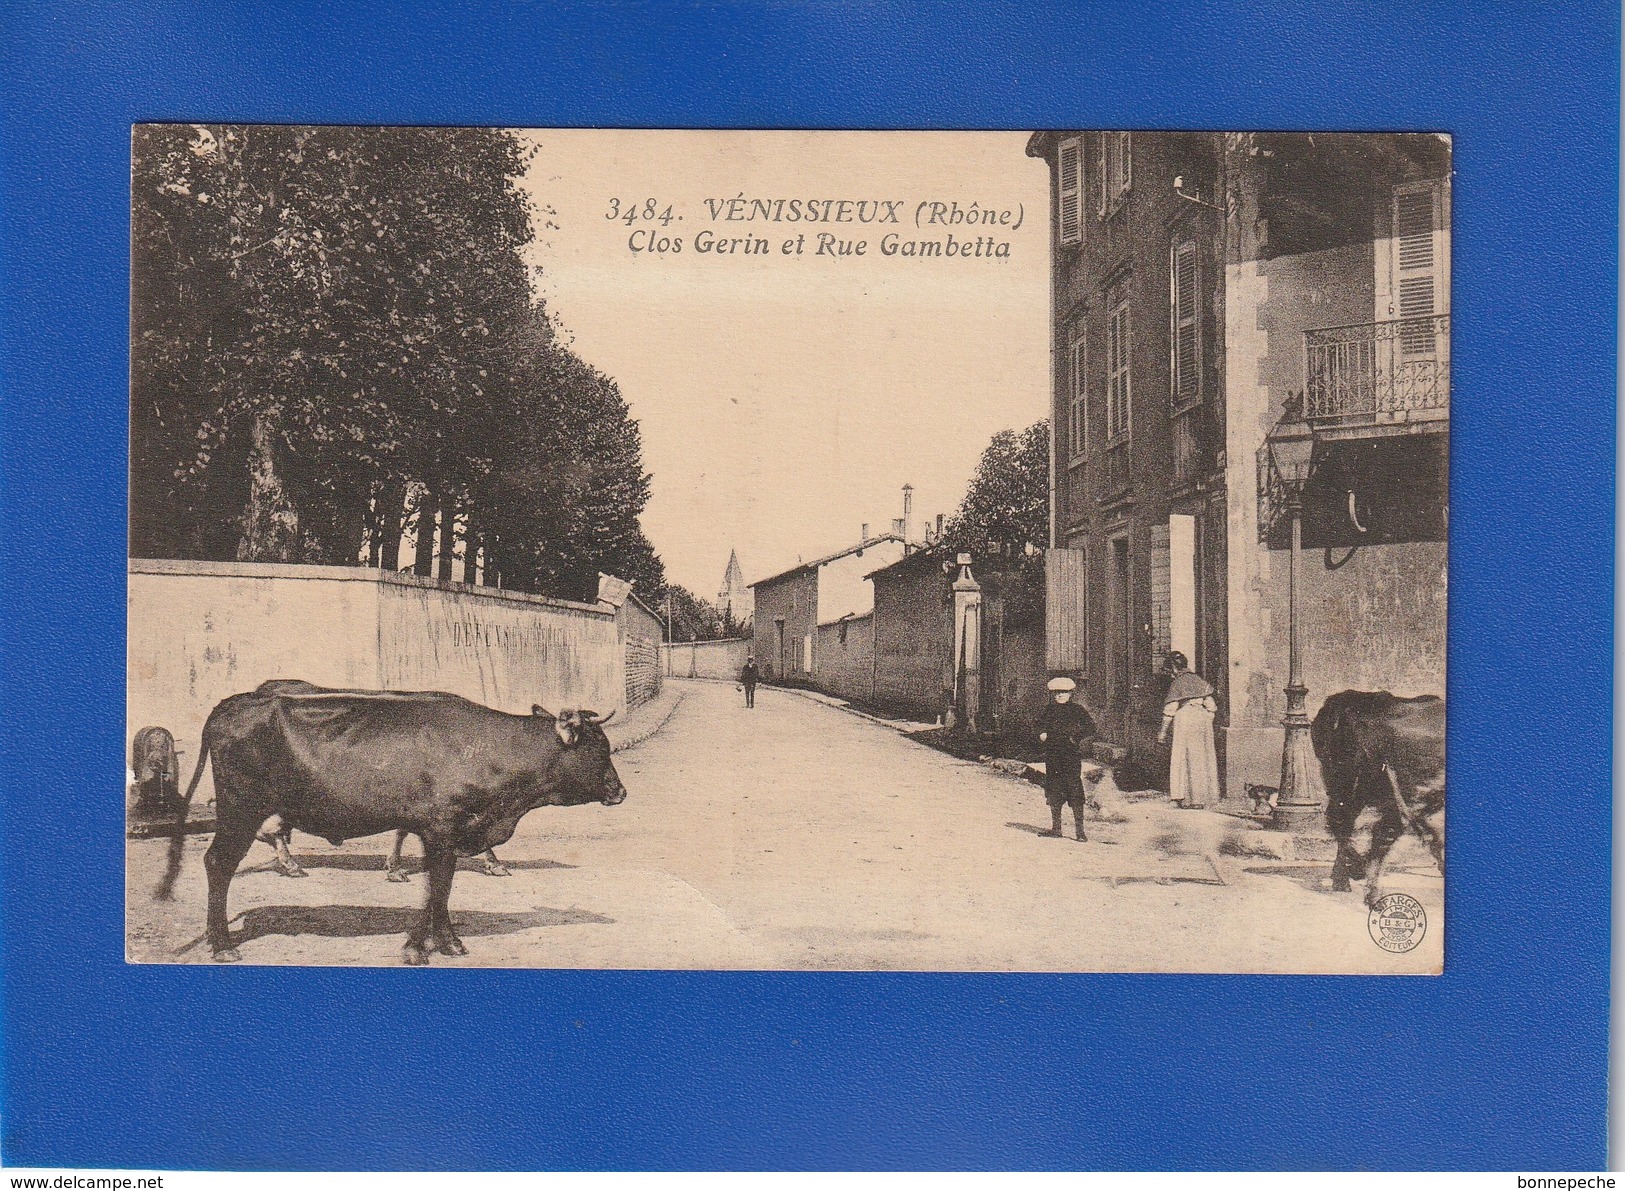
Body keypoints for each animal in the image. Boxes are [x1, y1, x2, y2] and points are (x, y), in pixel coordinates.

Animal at [160, 672, 627, 961]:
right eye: (599, 749)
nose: (620, 791)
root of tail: (234, 703)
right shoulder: (442, 830)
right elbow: (436, 888)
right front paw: (422, 945)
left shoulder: (449, 833)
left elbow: (442, 889)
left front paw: (444, 941)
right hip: (240, 809)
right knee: (218, 863)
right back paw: (222, 943)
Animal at [1306, 688, 1449, 903]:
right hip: (1364, 788)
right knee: (1368, 828)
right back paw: (1363, 885)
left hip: (1353, 787)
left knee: (1344, 822)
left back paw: (1346, 878)